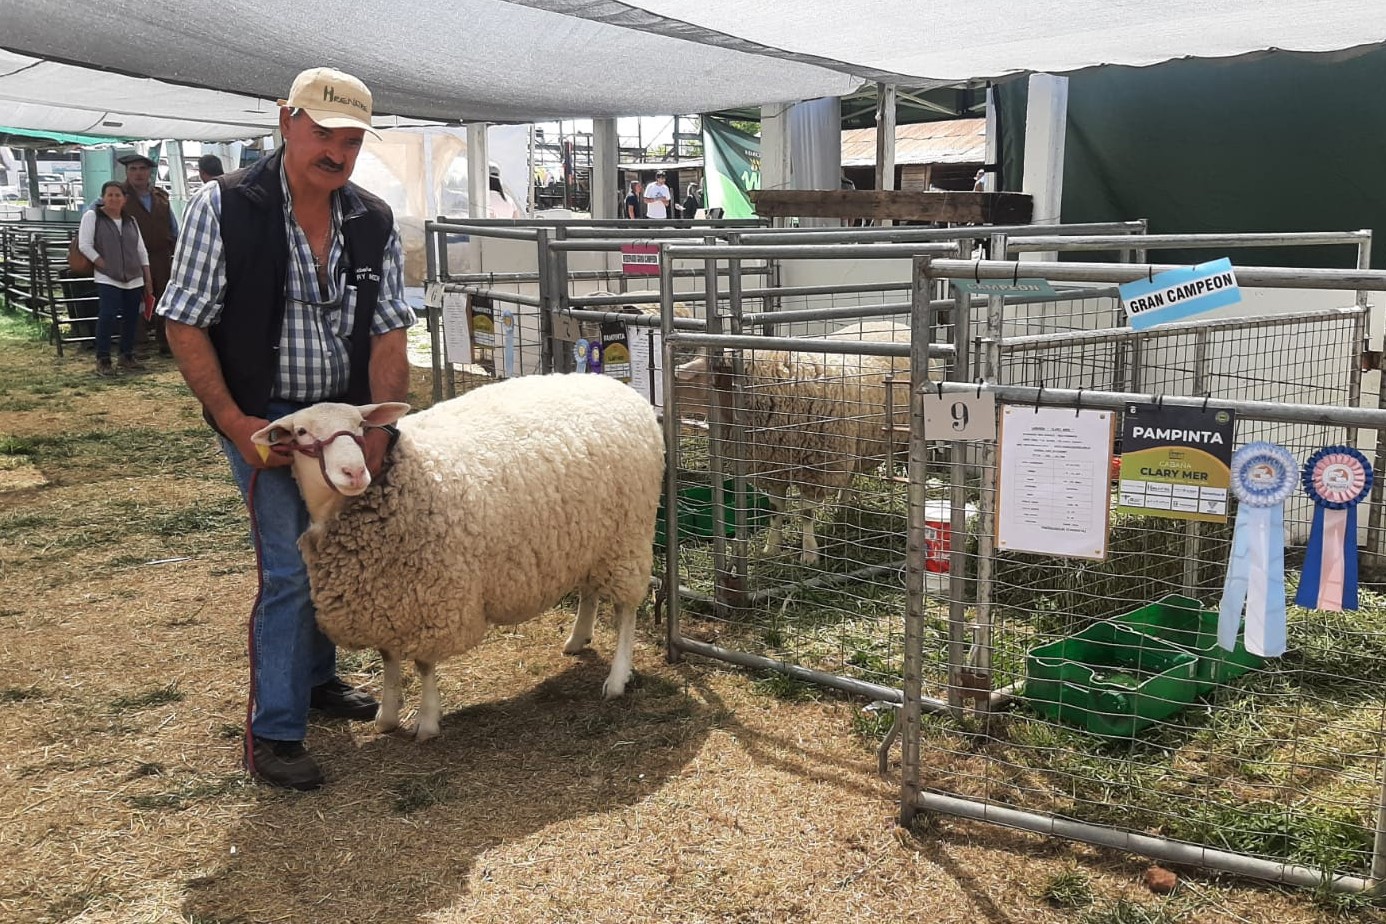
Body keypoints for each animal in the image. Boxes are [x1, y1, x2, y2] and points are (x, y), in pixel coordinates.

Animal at [252, 371, 668, 742]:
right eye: (302, 433)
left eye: (360, 427)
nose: (354, 472)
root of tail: (616, 386)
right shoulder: (385, 598)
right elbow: (388, 658)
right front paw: (387, 715)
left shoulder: (433, 597)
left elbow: (423, 664)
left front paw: (427, 721)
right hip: (588, 537)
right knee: (589, 590)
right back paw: (578, 638)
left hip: (627, 535)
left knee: (626, 610)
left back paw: (617, 677)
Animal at [668, 321, 942, 567]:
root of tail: (898, 324)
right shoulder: (773, 468)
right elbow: (775, 510)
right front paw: (771, 548)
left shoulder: (817, 468)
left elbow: (806, 513)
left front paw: (809, 554)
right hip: (855, 443)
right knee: (851, 475)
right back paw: (843, 503)